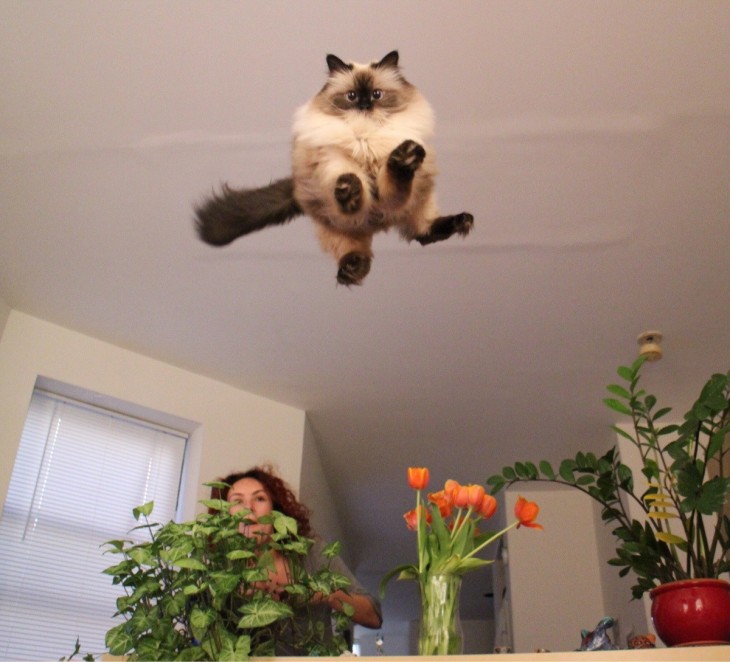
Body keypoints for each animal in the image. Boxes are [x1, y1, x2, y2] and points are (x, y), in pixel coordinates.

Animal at [195, 52, 472, 288]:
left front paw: (404, 158)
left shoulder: (392, 193)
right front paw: (349, 190)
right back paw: (351, 269)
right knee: (356, 251)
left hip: (419, 204)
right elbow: (351, 184)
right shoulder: (333, 164)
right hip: (335, 225)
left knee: (423, 232)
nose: (364, 106)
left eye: (377, 94)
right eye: (351, 96)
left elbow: (396, 179)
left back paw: (463, 221)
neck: (365, 139)